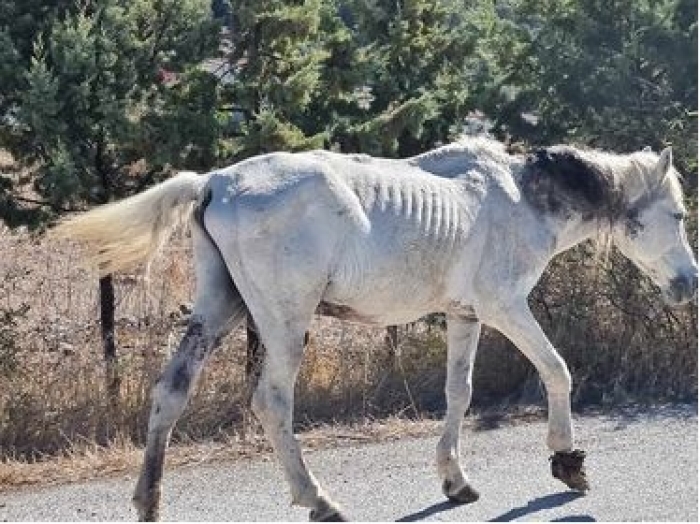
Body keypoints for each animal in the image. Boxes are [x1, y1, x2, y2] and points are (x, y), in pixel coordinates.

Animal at [54, 135, 696, 520]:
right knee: (271, 403)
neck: (518, 199)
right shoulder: (504, 307)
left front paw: (456, 481)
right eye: (678, 213)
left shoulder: (465, 316)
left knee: (170, 392)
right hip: (283, 322)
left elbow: (458, 394)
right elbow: (556, 371)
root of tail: (217, 182)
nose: (689, 283)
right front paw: (568, 461)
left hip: (217, 309)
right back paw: (318, 500)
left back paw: (149, 499)